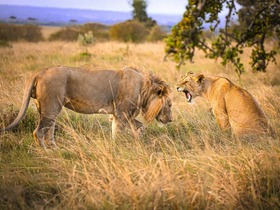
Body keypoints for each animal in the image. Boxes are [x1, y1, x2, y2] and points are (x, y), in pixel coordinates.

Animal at [0, 66, 173, 148]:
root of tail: (39, 72)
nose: (170, 120)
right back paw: (47, 152)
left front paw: (137, 139)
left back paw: (56, 149)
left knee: (48, 131)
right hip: (51, 106)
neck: (144, 89)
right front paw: (117, 147)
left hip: (46, 109)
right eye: (170, 105)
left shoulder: (122, 115)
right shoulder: (122, 113)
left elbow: (139, 127)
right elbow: (118, 133)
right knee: (38, 132)